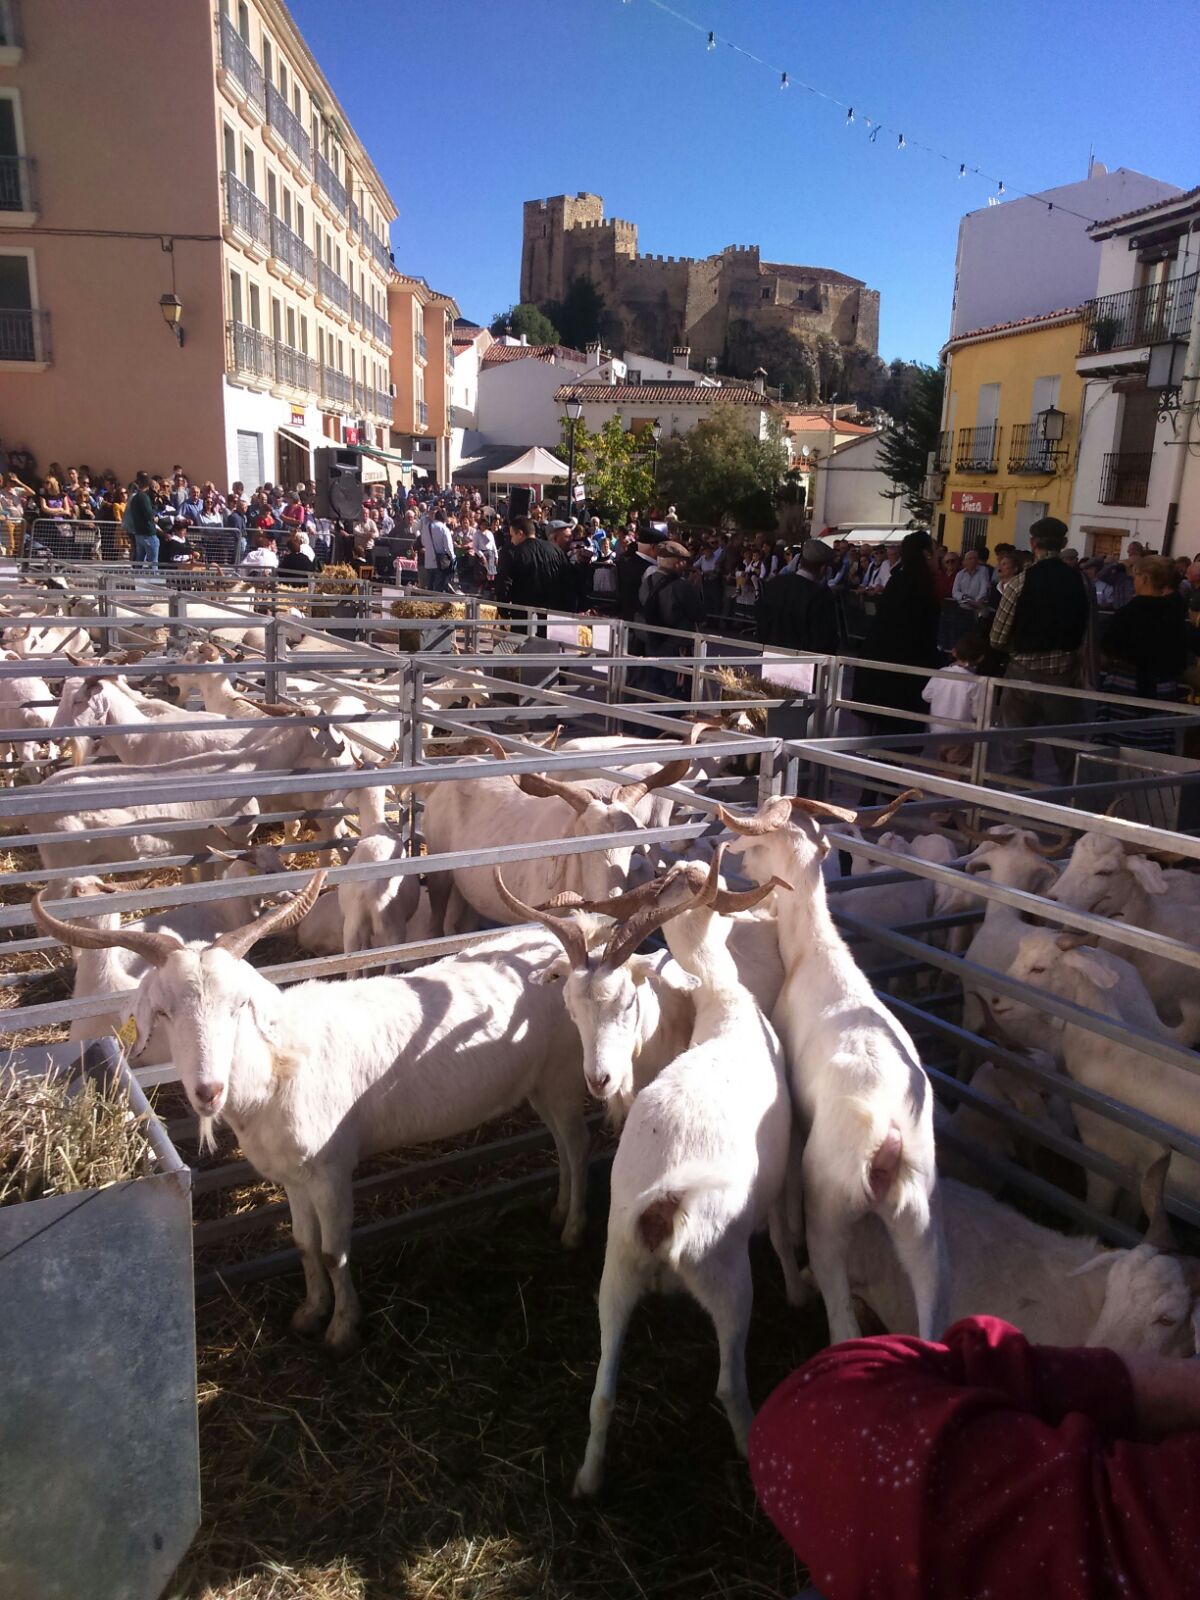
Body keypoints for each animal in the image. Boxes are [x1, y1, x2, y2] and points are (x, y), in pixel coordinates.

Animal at [29, 883, 592, 1356]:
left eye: (239, 1005)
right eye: (164, 1011)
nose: (208, 1091)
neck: (278, 1066)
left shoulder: (331, 1169)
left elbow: (333, 1250)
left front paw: (342, 1329)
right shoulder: (291, 1174)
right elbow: (304, 1244)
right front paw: (308, 1313)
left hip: (567, 1074)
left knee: (577, 1146)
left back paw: (572, 1230)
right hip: (541, 1082)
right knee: (563, 1147)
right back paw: (559, 1213)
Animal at [720, 793, 953, 1344]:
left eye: (755, 845)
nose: (740, 863)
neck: (814, 952)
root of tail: (887, 1135)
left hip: (830, 1207)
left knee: (841, 1313)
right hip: (921, 1217)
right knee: (933, 1293)